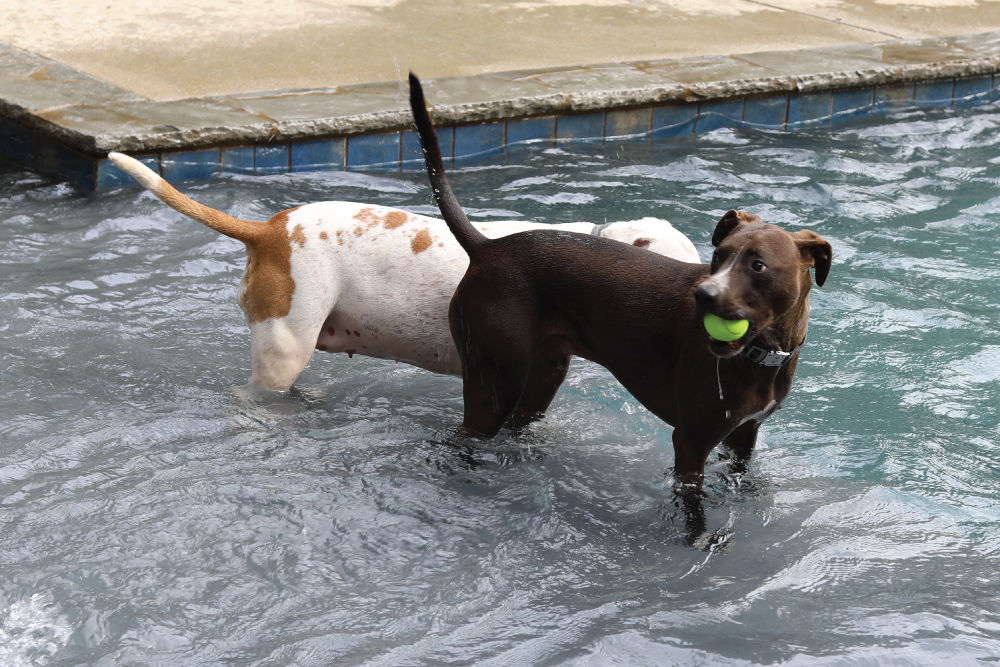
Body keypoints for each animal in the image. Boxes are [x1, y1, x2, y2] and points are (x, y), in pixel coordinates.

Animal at [406, 73, 828, 506]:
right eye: (719, 255)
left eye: (757, 265)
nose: (703, 296)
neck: (764, 355)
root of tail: (486, 247)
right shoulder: (691, 442)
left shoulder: (744, 438)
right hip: (494, 384)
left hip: (542, 377)